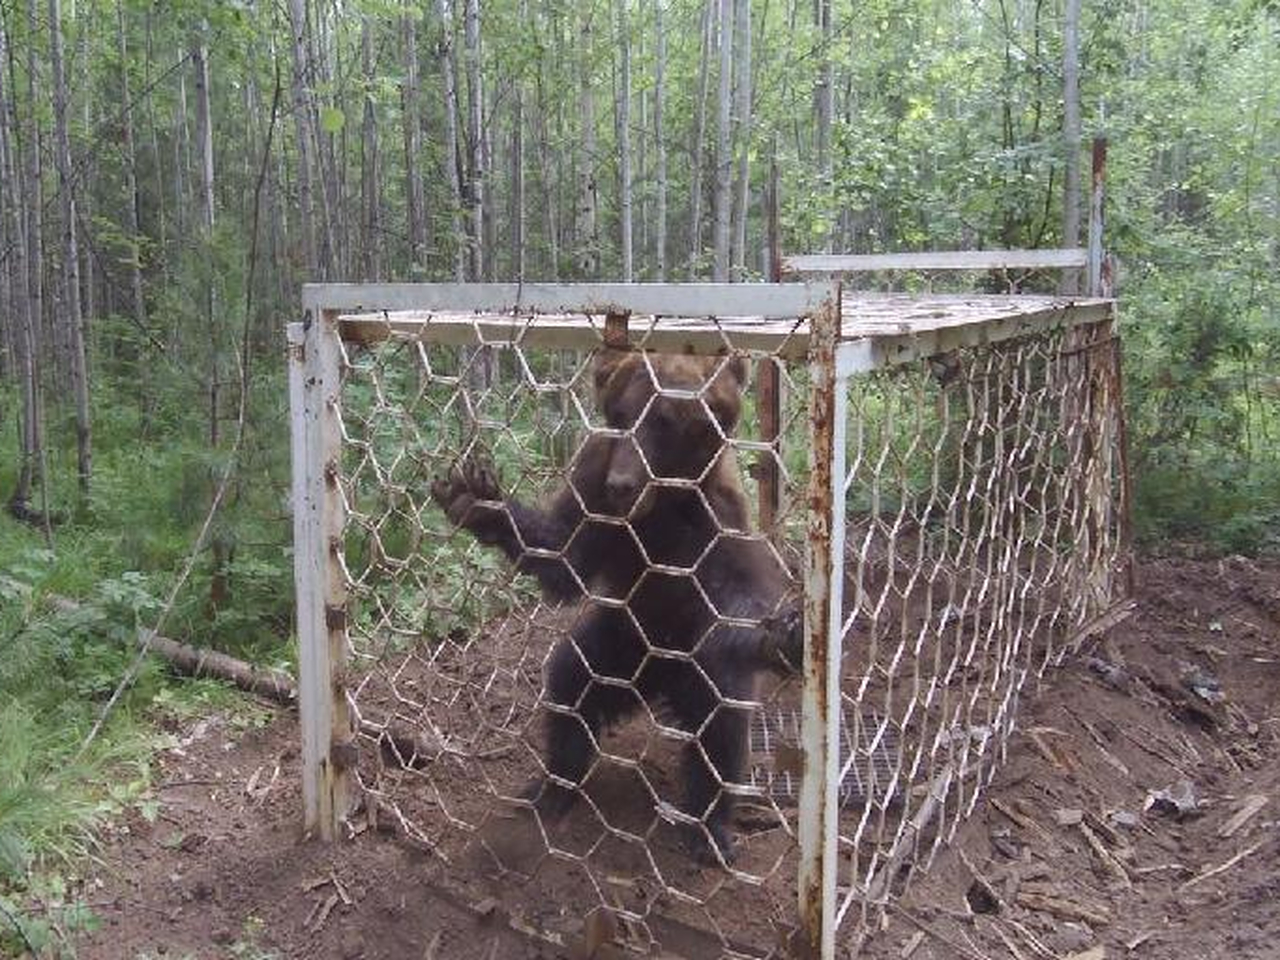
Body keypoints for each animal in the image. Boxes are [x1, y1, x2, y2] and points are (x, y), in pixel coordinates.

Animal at [440, 345, 798, 865]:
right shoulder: (596, 489)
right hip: (623, 642)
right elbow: (563, 556)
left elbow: (740, 596)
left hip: (688, 660)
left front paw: (783, 632)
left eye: (664, 420)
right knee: (572, 683)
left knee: (721, 724)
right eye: (622, 415)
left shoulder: (717, 520)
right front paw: (477, 498)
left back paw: (708, 829)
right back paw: (553, 788)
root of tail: (660, 681)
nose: (623, 484)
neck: (660, 509)